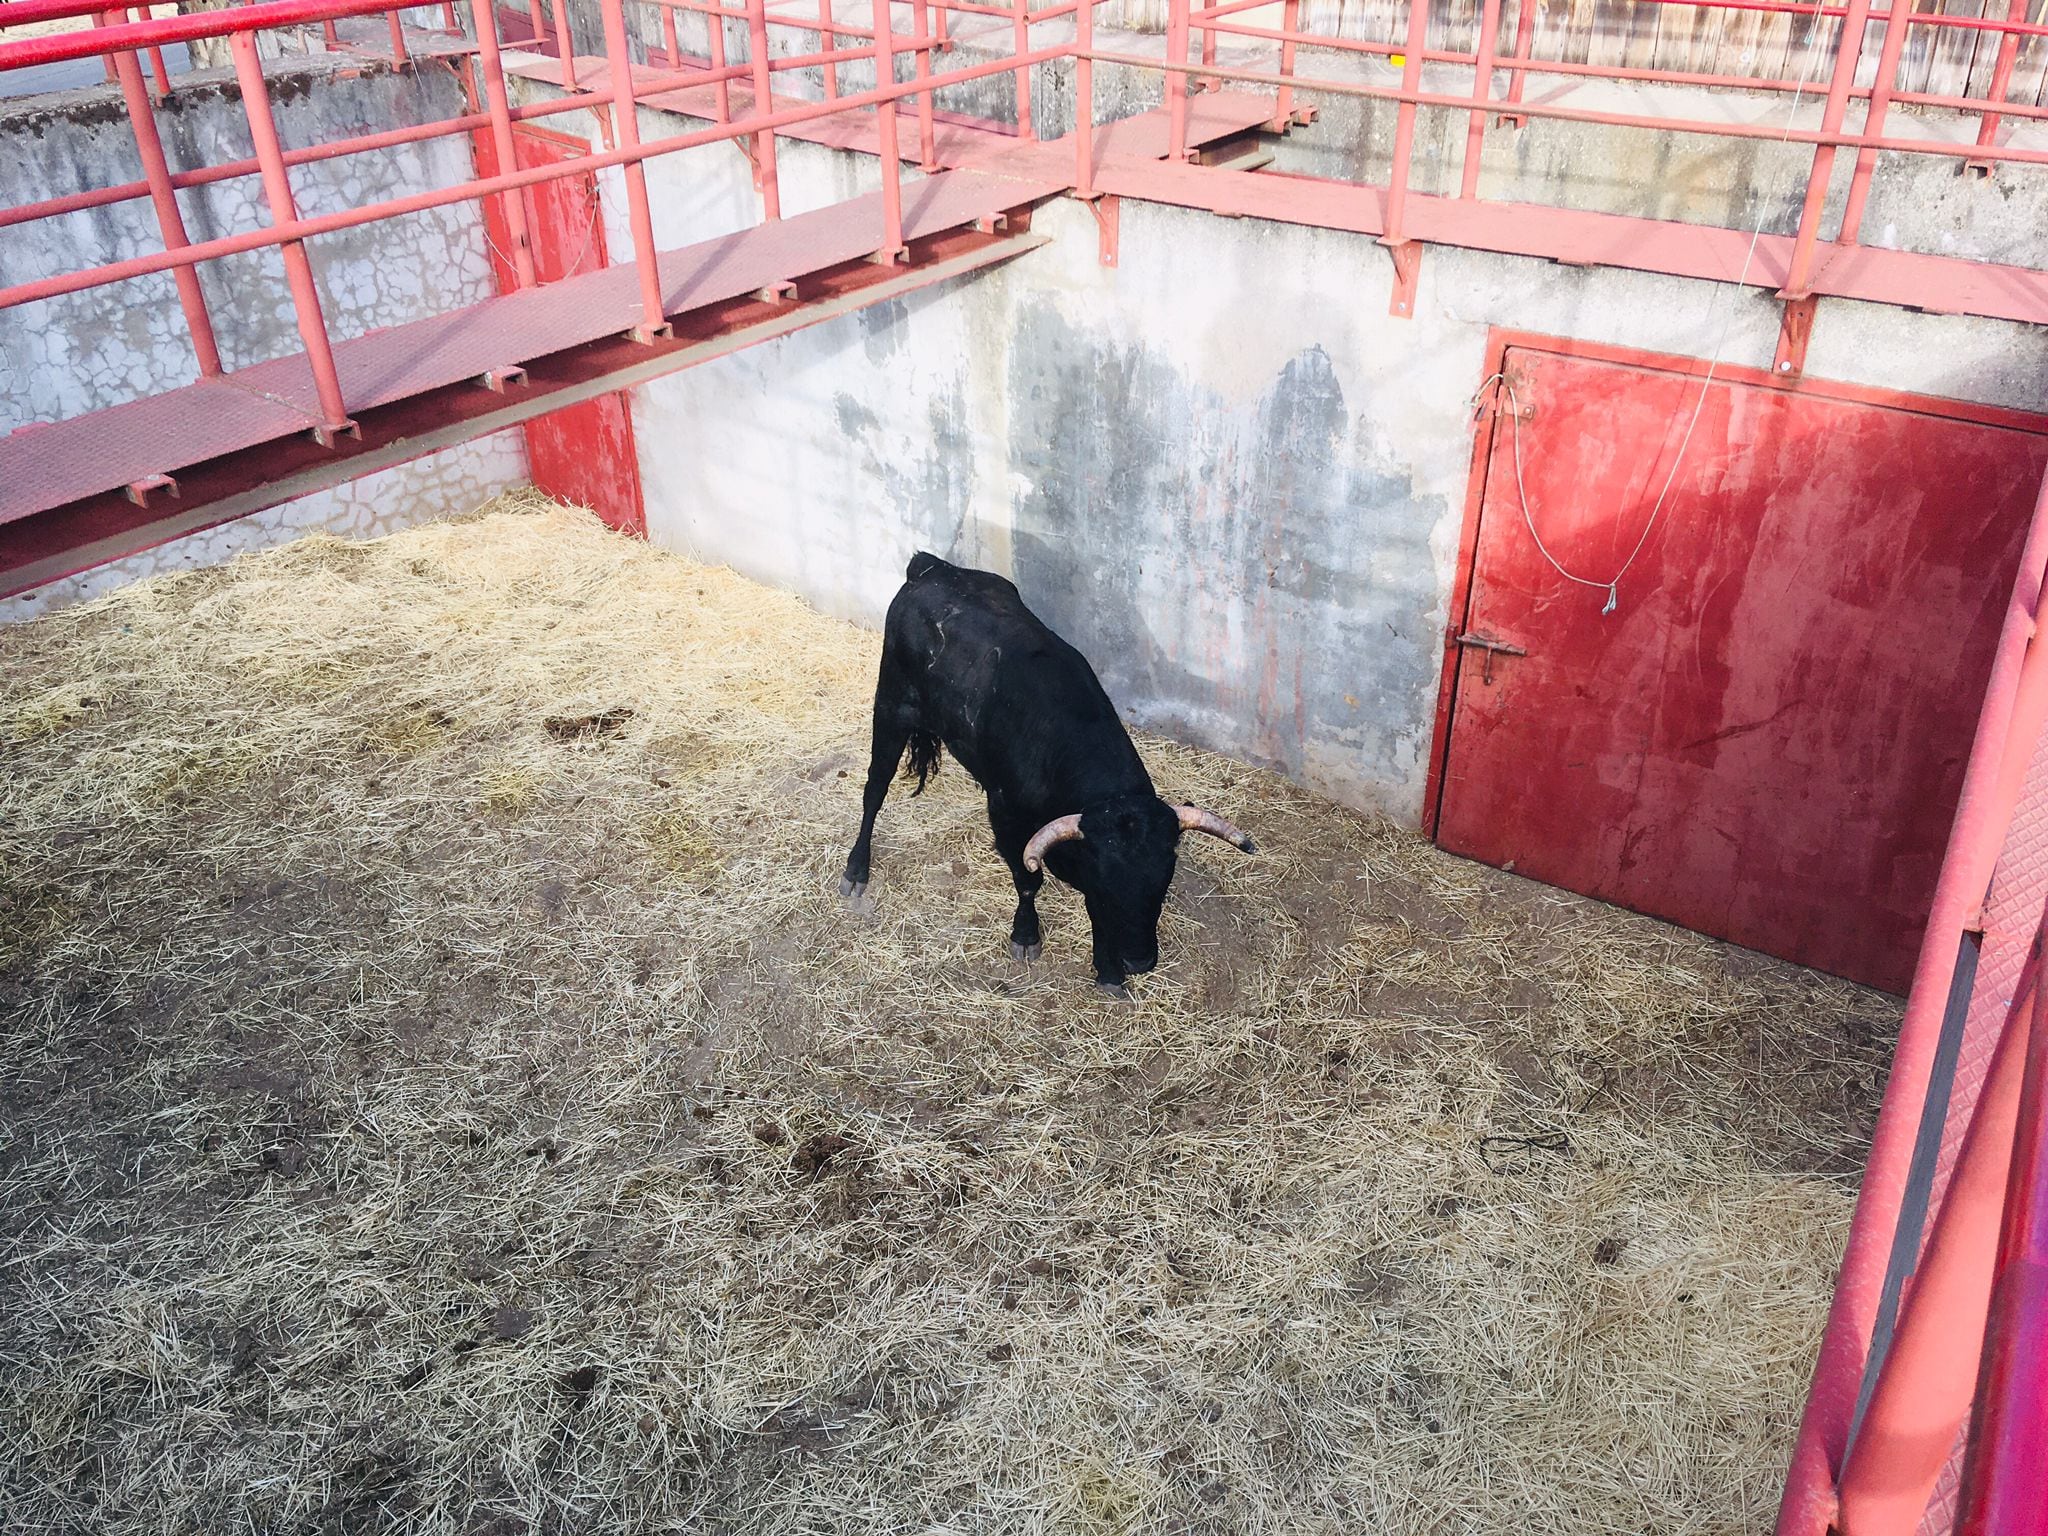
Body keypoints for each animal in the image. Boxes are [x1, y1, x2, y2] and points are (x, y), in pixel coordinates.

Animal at [839, 552, 1253, 999]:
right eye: (1105, 886)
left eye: (1163, 883)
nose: (1139, 961)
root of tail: (931, 567)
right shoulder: (1006, 816)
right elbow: (1027, 882)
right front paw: (1026, 936)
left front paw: (1108, 970)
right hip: (891, 706)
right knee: (874, 789)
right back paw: (856, 870)